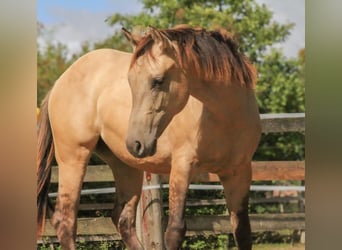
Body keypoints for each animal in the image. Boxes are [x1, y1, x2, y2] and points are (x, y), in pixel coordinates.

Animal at [37, 25, 260, 250]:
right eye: (130, 82)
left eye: (158, 81)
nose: (135, 143)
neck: (225, 117)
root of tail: (58, 83)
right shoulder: (182, 166)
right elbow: (175, 229)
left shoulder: (239, 173)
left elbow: (242, 231)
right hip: (74, 158)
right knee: (66, 221)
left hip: (126, 167)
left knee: (122, 220)